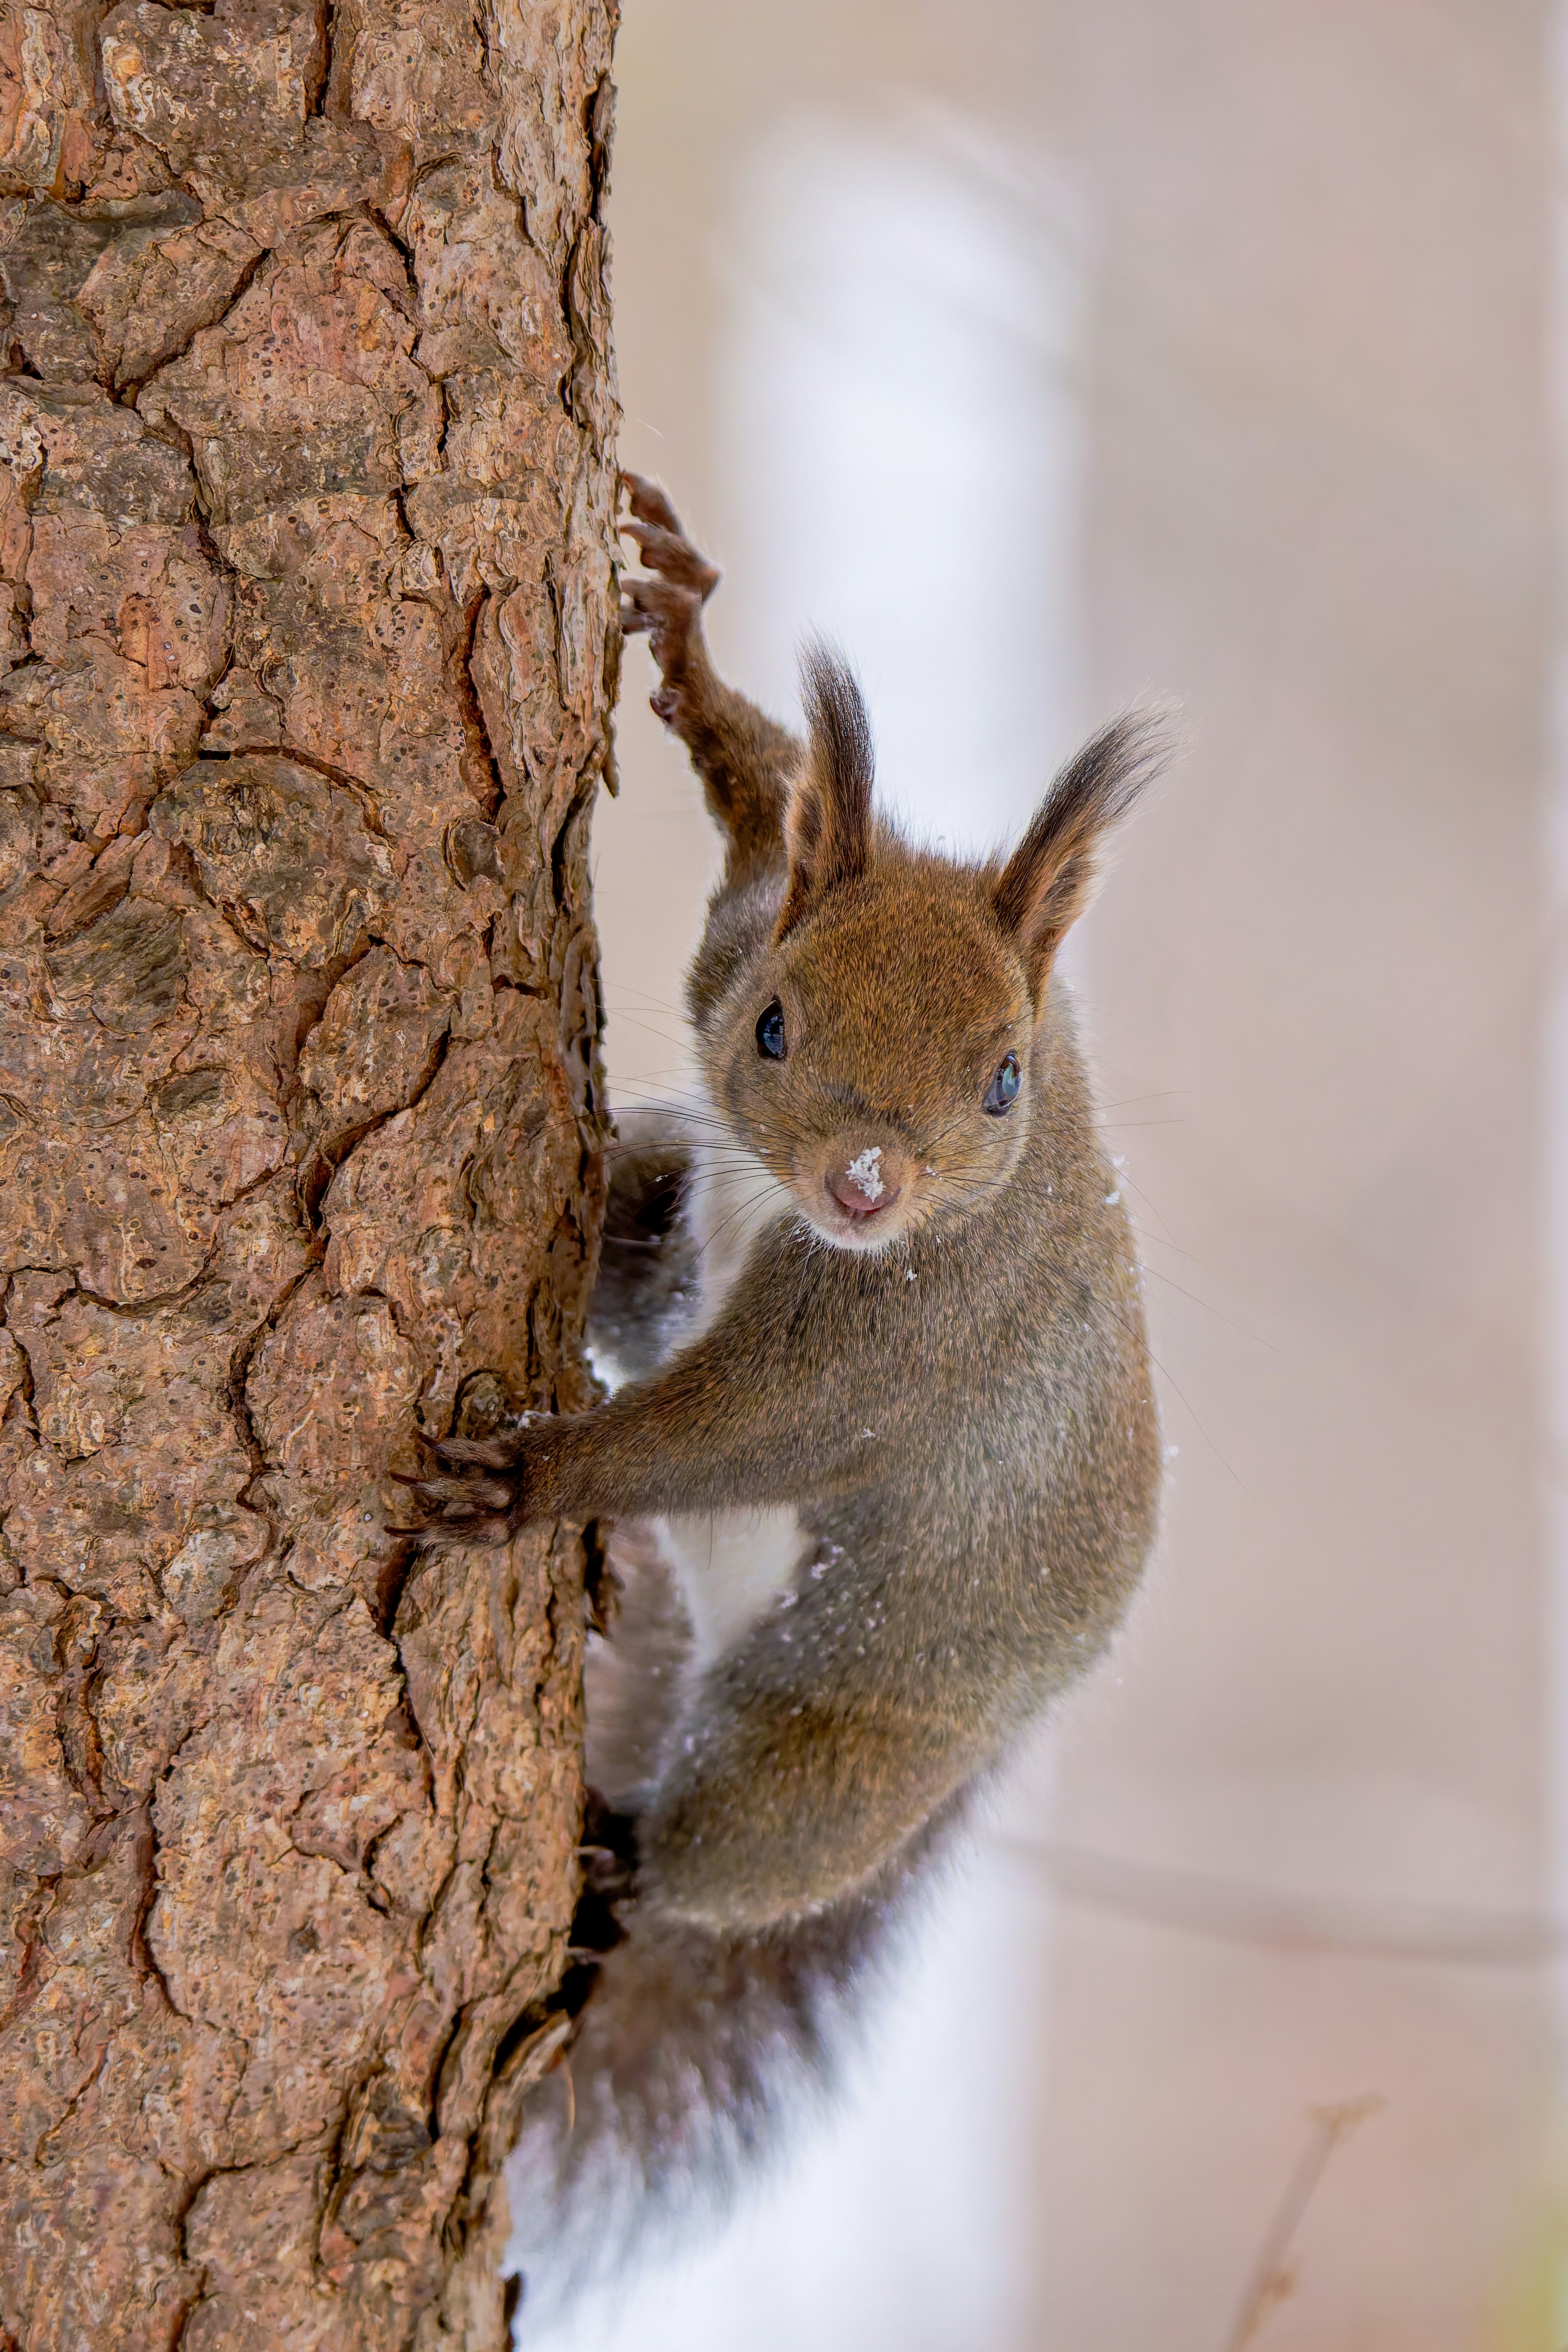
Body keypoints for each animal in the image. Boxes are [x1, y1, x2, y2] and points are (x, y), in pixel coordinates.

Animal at [414, 474, 1168, 2330]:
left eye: (1003, 1079)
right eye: (772, 1023)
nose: (867, 1185)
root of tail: (1013, 1722)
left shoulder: (891, 1347)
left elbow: (731, 1430)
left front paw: (533, 1484)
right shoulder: (744, 941)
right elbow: (768, 830)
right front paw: (691, 652)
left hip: (825, 1739)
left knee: (729, 1856)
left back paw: (616, 1867)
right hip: (664, 1198)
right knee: (637, 1235)